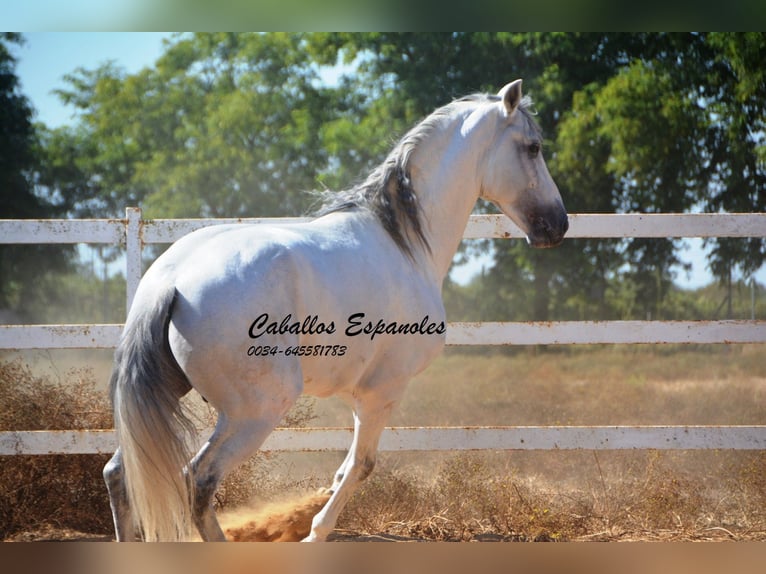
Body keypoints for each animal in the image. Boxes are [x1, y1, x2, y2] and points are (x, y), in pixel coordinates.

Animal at [103, 79, 568, 542]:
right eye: (533, 147)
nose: (558, 225)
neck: (404, 243)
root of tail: (173, 280)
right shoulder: (383, 391)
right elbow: (362, 466)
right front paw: (315, 533)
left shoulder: (356, 393)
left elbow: (344, 469)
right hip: (254, 413)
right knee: (197, 479)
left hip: (168, 399)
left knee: (118, 474)